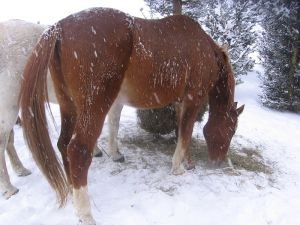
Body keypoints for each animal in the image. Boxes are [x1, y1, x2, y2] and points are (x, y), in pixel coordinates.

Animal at [18, 7, 244, 225]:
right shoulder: (193, 99)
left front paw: (186, 162)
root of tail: (60, 27)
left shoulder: (181, 103)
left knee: (63, 144)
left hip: (68, 106)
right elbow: (186, 132)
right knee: (77, 151)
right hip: (93, 108)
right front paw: (178, 167)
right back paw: (86, 214)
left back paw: (74, 197)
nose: (218, 162)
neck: (204, 48)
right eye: (231, 129)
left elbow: (181, 131)